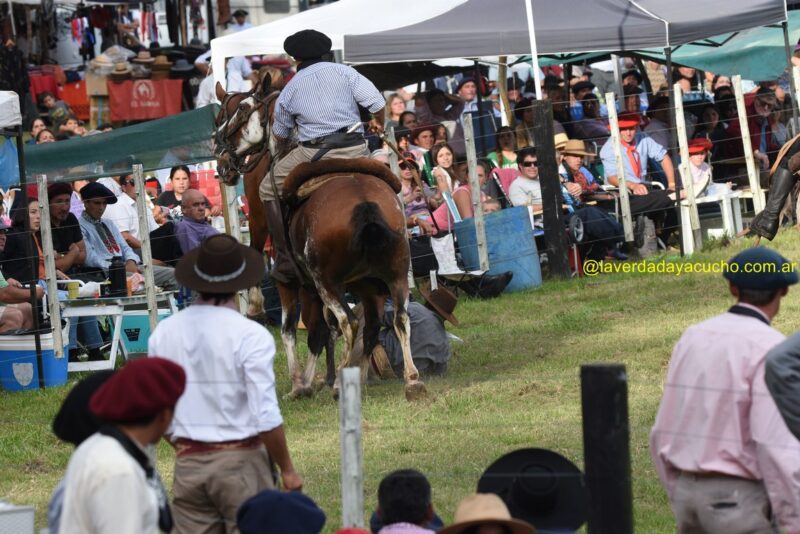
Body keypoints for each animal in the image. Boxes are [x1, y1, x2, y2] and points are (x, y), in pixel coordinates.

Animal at [214, 69, 426, 400]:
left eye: (239, 112)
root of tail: (365, 204)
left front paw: (299, 384)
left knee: (350, 322)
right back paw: (407, 380)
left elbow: (291, 331)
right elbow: (318, 332)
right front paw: (315, 379)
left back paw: (342, 381)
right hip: (390, 276)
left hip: (329, 282)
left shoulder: (290, 282)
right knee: (394, 319)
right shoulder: (313, 289)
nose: (221, 157)